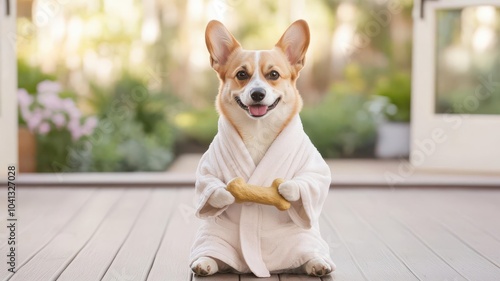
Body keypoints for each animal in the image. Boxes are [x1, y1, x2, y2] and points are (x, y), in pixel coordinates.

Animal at [192, 20, 336, 276]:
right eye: (241, 74)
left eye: (274, 75)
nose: (257, 94)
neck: (259, 129)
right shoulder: (208, 167)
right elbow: (209, 184)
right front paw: (224, 194)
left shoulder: (313, 167)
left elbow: (311, 179)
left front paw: (288, 189)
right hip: (214, 234)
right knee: (214, 252)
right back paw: (206, 261)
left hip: (302, 238)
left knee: (307, 252)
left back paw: (316, 263)